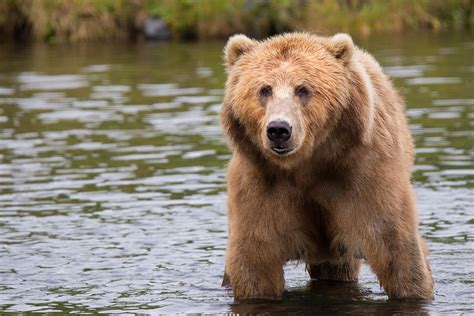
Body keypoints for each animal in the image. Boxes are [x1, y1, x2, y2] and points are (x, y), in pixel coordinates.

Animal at [220, 32, 436, 302]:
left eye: (303, 89)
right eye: (264, 89)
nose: (279, 129)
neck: (308, 164)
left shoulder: (364, 174)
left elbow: (396, 247)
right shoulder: (261, 183)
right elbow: (256, 258)